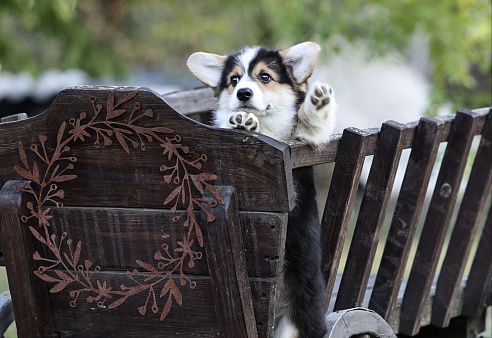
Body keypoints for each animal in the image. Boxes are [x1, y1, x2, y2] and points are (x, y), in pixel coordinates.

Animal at [186, 42, 336, 338]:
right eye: (234, 80)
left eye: (265, 77)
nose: (243, 93)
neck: (267, 130)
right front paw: (240, 121)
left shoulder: (303, 142)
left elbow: (310, 123)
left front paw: (317, 103)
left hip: (299, 314)